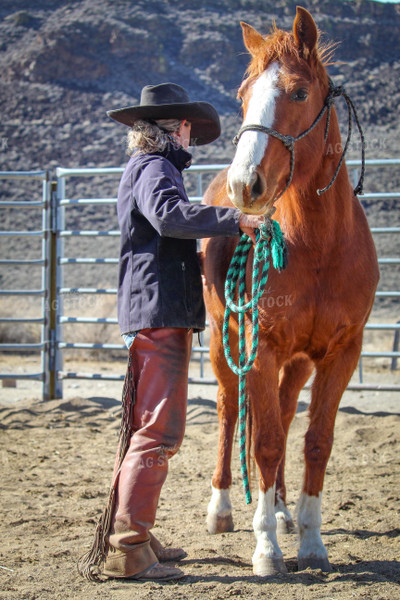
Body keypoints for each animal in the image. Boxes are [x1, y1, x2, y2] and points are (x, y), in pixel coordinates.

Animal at [202, 5, 380, 576]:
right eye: (242, 94)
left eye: (299, 93)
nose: (245, 186)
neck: (318, 244)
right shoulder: (259, 349)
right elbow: (264, 443)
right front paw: (266, 551)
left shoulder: (341, 352)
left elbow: (314, 441)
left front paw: (309, 540)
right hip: (224, 344)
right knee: (230, 410)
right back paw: (222, 509)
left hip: (296, 362)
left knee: (279, 412)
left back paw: (278, 509)